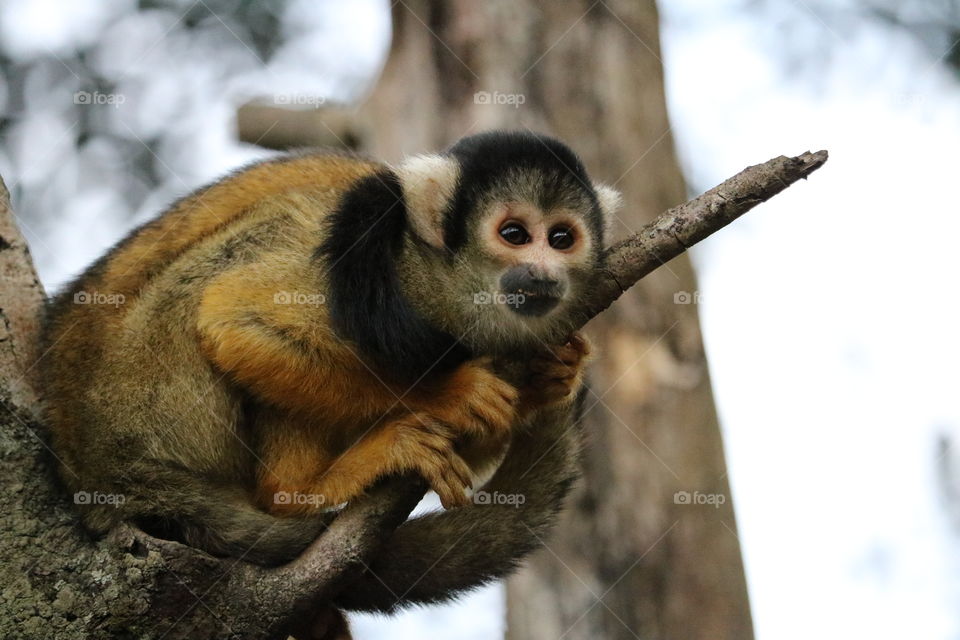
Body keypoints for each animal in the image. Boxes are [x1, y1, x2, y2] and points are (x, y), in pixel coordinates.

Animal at [39, 130, 622, 578]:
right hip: (148, 397)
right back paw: (299, 489)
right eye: (515, 234)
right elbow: (234, 321)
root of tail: (103, 474)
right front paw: (447, 395)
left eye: (562, 238)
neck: (443, 280)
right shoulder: (373, 253)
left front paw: (550, 377)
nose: (543, 273)